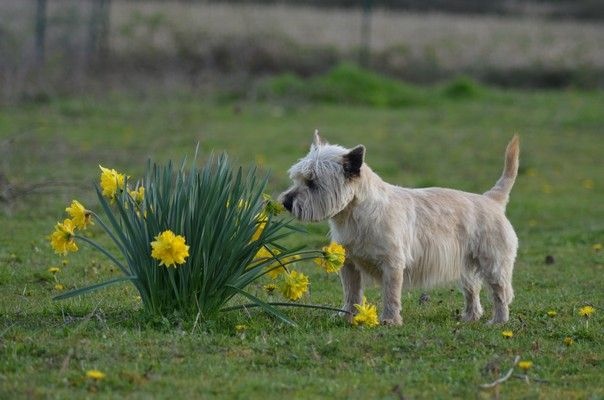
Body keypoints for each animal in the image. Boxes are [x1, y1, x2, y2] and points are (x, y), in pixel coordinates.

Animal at [280, 131, 520, 324]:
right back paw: (470, 317)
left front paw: (389, 320)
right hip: (465, 266)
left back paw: (498, 321)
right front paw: (348, 316)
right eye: (296, 178)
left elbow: (391, 294)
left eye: (312, 182)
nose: (286, 202)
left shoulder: (392, 263)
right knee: (473, 290)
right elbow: (351, 293)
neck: (354, 217)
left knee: (500, 293)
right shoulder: (349, 264)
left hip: (493, 263)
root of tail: (492, 200)